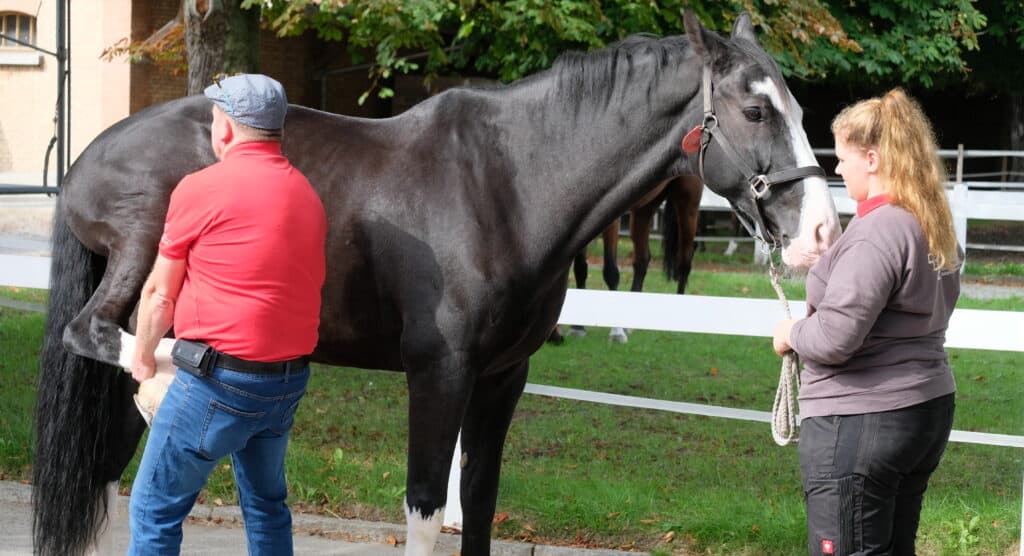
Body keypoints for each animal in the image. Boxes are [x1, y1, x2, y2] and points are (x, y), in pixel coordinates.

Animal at [34, 10, 839, 552]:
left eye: (800, 109)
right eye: (755, 109)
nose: (822, 235)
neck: (507, 184)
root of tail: (88, 157)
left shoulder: (501, 380)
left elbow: (477, 505)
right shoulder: (439, 375)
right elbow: (425, 509)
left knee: (108, 470)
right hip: (144, 247)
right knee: (99, 333)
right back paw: (174, 377)